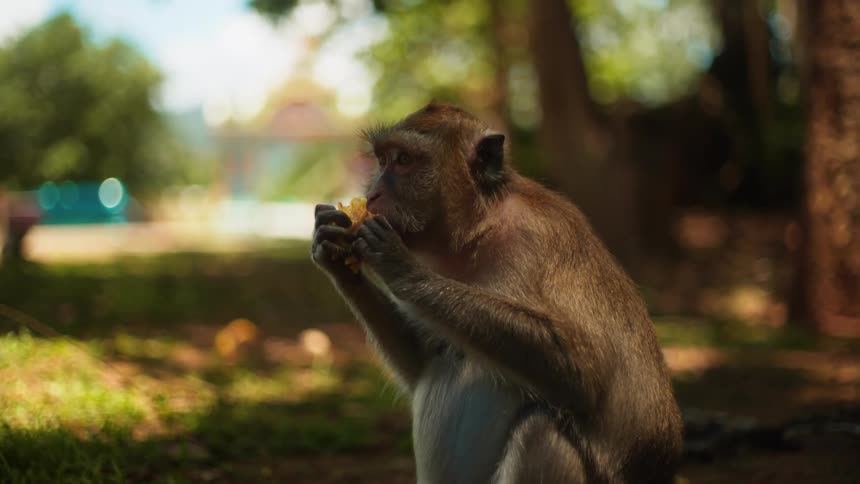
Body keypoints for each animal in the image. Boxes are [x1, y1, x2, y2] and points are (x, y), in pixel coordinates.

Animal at [311, 102, 683, 484]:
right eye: (382, 159)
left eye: (404, 160)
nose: (372, 194)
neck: (480, 227)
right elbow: (424, 358)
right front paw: (334, 252)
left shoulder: (532, 240)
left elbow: (584, 373)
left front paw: (400, 268)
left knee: (541, 431)